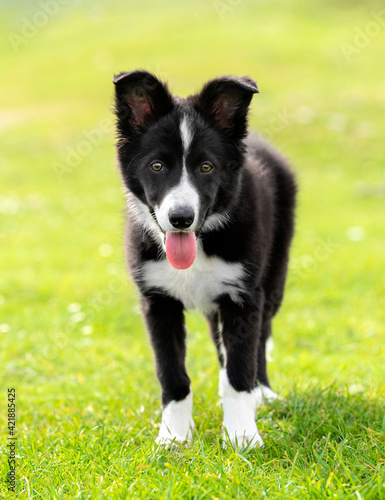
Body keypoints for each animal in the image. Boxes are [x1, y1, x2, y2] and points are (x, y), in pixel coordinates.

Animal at [112, 70, 296, 450]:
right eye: (156, 166)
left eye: (206, 167)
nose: (181, 218)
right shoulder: (157, 301)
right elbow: (171, 373)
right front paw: (173, 437)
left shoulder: (243, 295)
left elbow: (240, 369)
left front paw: (242, 436)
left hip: (272, 281)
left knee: (260, 337)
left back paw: (262, 393)